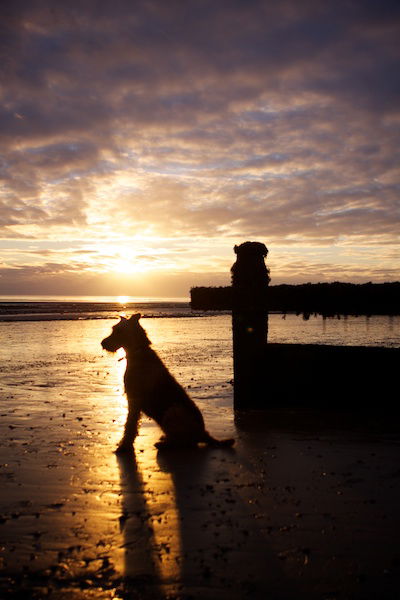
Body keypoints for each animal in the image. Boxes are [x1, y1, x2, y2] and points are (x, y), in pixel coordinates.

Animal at [101, 316, 236, 452]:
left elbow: (130, 424)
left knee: (186, 442)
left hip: (174, 410)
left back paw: (166, 444)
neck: (139, 351)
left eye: (118, 331)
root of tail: (202, 433)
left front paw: (124, 446)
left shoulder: (134, 399)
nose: (103, 343)